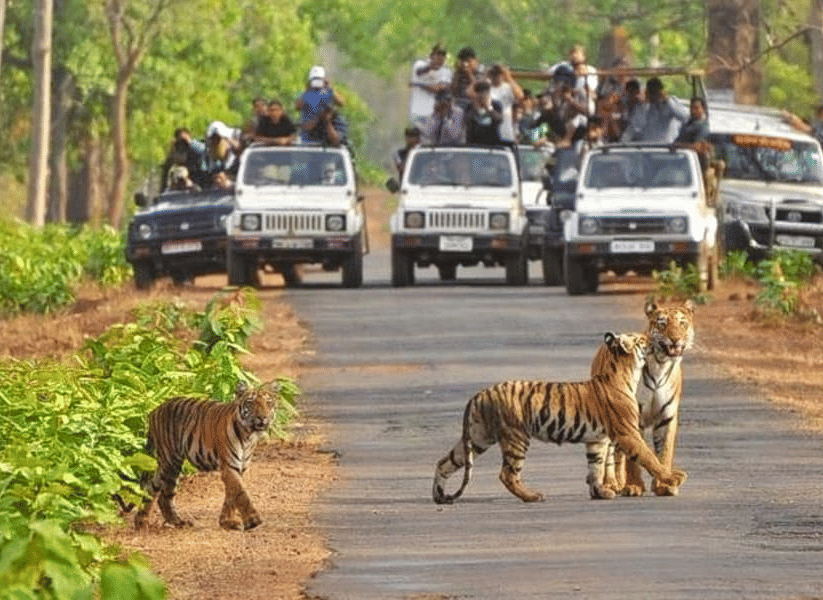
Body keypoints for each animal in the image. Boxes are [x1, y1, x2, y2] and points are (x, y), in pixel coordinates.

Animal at [133, 380, 279, 531]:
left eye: (268, 402)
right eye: (251, 402)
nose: (263, 417)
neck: (248, 435)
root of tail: (154, 410)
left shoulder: (240, 468)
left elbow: (231, 496)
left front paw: (227, 522)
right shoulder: (229, 467)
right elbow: (241, 493)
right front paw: (253, 520)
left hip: (169, 465)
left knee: (156, 490)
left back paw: (157, 521)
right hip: (170, 461)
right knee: (159, 492)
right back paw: (154, 522)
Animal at [432, 332, 687, 504]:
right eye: (641, 339)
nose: (653, 338)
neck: (625, 373)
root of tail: (480, 393)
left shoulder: (597, 439)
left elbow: (595, 466)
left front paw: (600, 492)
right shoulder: (628, 433)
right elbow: (649, 458)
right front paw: (673, 478)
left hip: (478, 437)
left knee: (445, 462)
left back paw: (439, 495)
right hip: (516, 437)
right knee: (507, 474)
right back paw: (533, 496)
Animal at [591, 300, 694, 497]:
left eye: (682, 323)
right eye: (662, 324)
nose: (675, 339)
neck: (661, 365)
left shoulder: (667, 417)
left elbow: (664, 452)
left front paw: (664, 485)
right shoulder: (633, 417)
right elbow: (635, 457)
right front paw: (634, 486)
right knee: (609, 453)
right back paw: (611, 484)